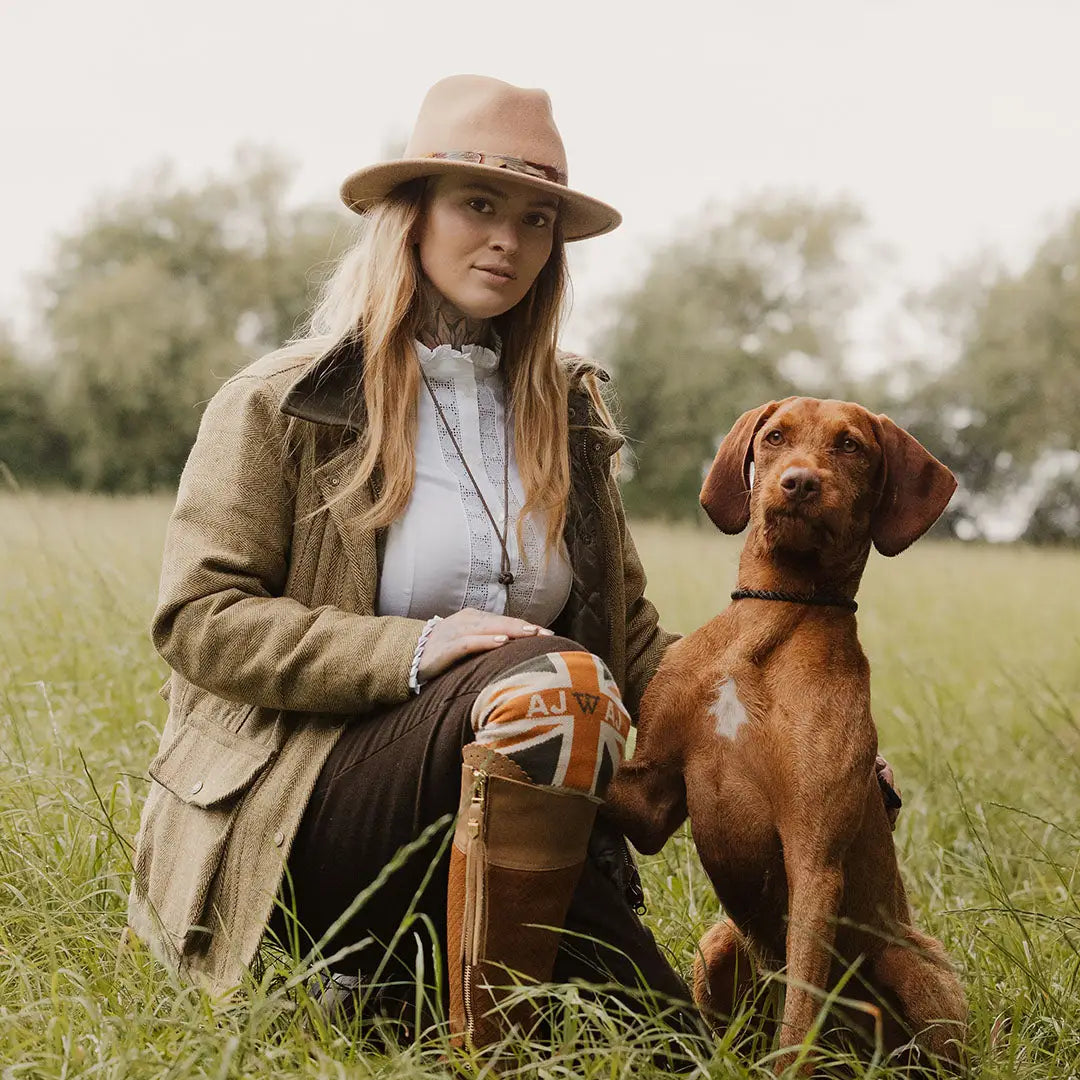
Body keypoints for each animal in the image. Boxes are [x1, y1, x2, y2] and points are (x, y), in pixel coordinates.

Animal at [609, 401, 972, 1075]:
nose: (799, 482)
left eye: (851, 446)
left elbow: (799, 1012)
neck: (774, 614)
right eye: (775, 437)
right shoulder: (648, 797)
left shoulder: (813, 860)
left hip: (911, 965)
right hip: (718, 944)